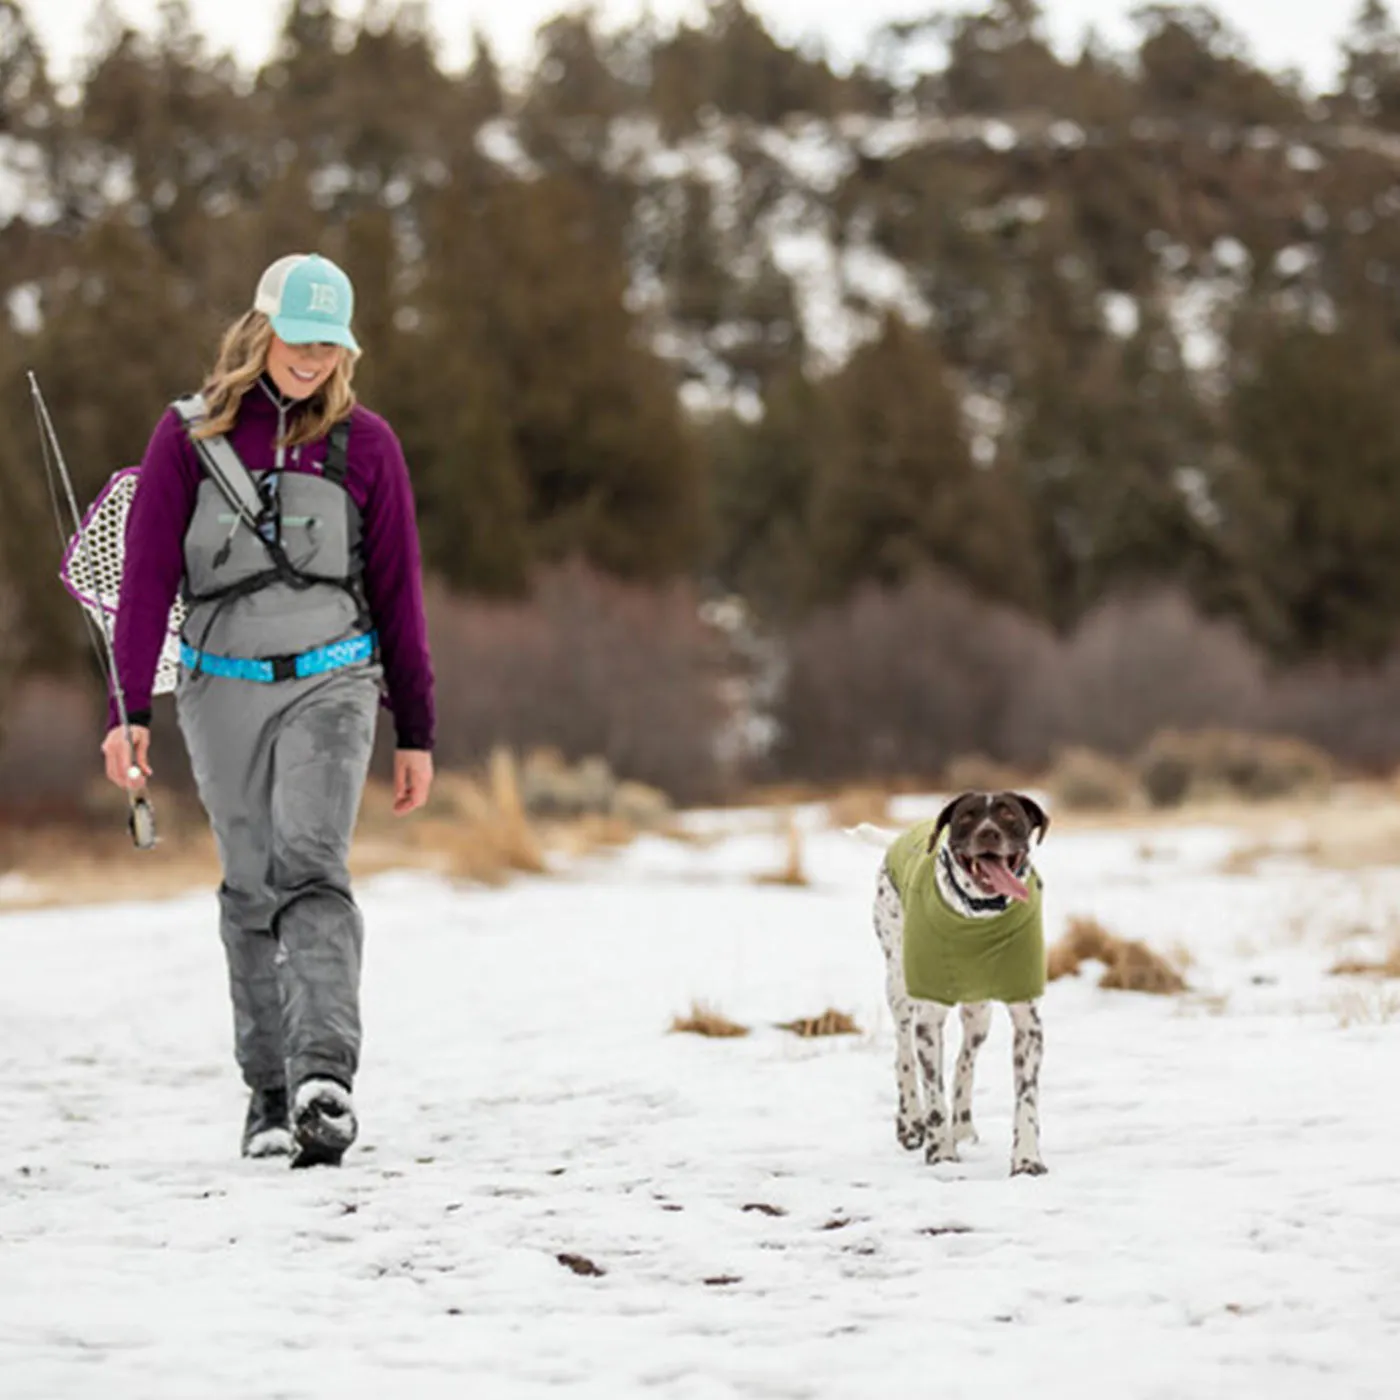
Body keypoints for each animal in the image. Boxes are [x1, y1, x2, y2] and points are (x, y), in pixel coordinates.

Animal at [851, 795, 1052, 1176]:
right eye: (967, 817)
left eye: (1008, 814)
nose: (988, 833)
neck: (980, 917)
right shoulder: (928, 1020)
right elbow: (933, 1092)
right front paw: (940, 1153)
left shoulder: (1028, 1023)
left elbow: (1027, 1098)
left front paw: (1027, 1160)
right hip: (899, 991)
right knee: (903, 1057)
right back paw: (911, 1124)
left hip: (979, 1014)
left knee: (964, 1063)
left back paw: (962, 1126)